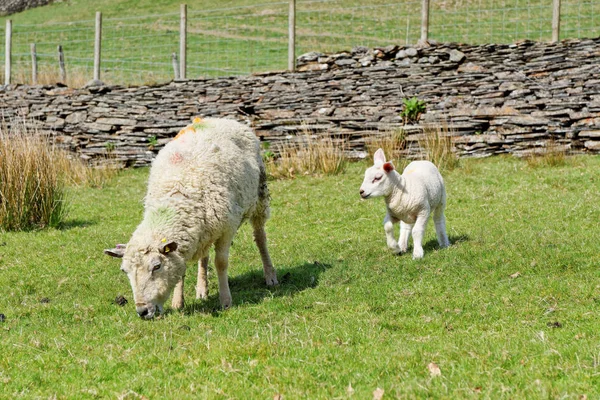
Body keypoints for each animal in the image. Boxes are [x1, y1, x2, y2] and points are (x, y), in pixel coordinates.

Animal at [104, 116, 278, 318]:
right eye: (125, 271)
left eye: (157, 266)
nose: (142, 311)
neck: (174, 197)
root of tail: (218, 118)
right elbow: (181, 268)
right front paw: (178, 302)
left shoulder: (227, 227)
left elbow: (221, 263)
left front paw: (226, 301)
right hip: (207, 228)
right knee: (204, 256)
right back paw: (202, 289)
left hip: (259, 197)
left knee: (260, 238)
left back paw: (270, 276)